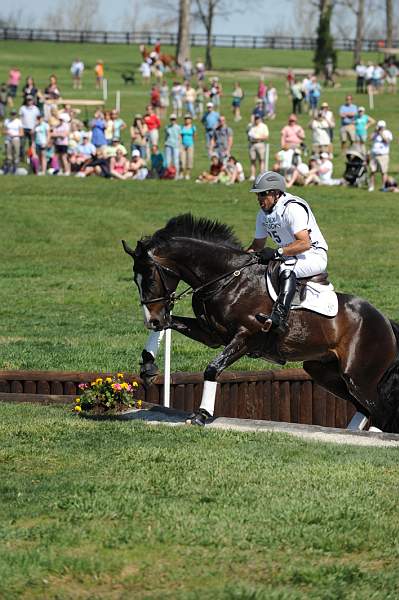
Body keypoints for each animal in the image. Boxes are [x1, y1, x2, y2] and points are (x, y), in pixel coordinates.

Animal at [122, 214, 399, 432]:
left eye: (149, 278)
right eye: (135, 280)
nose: (151, 319)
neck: (226, 279)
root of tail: (385, 321)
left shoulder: (246, 336)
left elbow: (212, 368)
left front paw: (201, 414)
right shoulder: (211, 335)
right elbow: (171, 325)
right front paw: (148, 366)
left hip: (359, 376)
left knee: (382, 412)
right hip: (324, 371)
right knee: (365, 408)